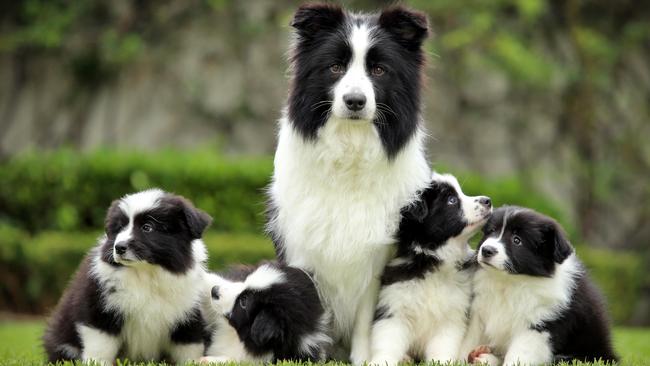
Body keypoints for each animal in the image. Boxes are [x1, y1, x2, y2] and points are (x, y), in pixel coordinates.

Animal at [43, 189, 210, 364]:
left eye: (147, 227)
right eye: (120, 228)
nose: (119, 247)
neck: (146, 273)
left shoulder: (188, 314)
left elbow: (189, 347)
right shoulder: (100, 308)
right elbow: (101, 345)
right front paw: (98, 363)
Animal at [266, 3, 432, 364]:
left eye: (379, 70)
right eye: (336, 67)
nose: (355, 101)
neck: (349, 148)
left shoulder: (377, 257)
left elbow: (365, 319)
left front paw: (362, 358)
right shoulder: (302, 250)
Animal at [368, 172, 488, 366]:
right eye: (452, 200)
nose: (488, 200)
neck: (433, 259)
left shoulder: (451, 317)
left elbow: (442, 349)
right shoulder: (394, 308)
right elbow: (388, 343)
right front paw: (380, 361)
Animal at [458, 206, 616, 366]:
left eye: (517, 240)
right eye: (491, 231)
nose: (486, 250)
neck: (510, 281)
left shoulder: (538, 324)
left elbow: (519, 353)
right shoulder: (480, 311)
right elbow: (470, 339)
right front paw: (459, 359)